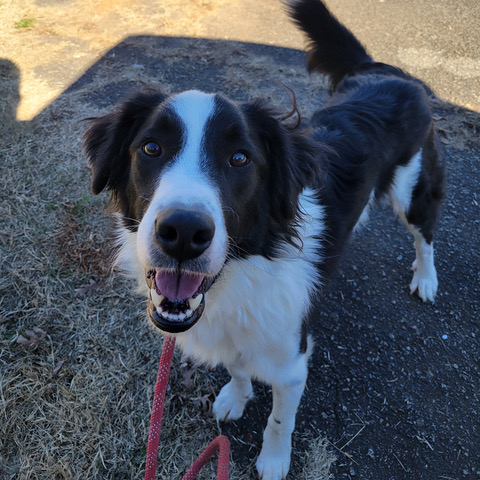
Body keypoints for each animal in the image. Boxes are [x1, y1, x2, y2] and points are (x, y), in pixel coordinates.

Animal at [81, 1, 442, 478]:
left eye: (240, 158)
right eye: (151, 148)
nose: (183, 233)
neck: (243, 274)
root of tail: (386, 70)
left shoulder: (292, 360)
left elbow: (279, 418)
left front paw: (273, 459)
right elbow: (238, 367)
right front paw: (236, 396)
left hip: (413, 190)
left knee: (425, 235)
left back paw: (426, 278)